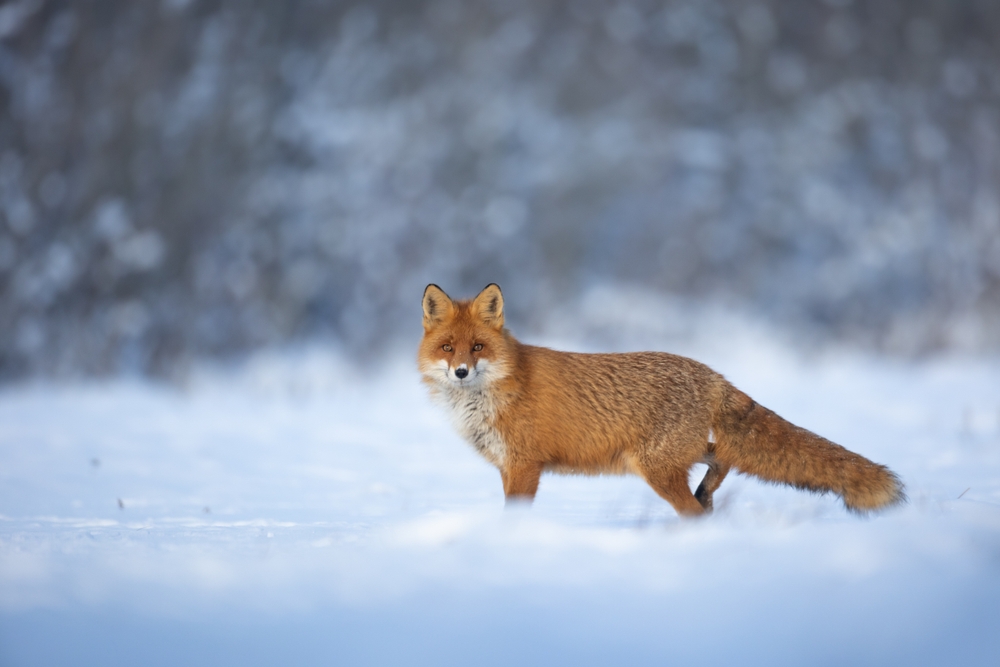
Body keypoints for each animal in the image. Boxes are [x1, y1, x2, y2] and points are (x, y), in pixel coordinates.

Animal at [418, 283, 905, 517]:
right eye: (448, 348)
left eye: (477, 347)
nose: (461, 372)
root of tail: (711, 374)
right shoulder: (508, 467)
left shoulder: (524, 466)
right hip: (670, 458)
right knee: (720, 460)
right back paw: (708, 495)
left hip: (654, 467)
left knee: (696, 505)